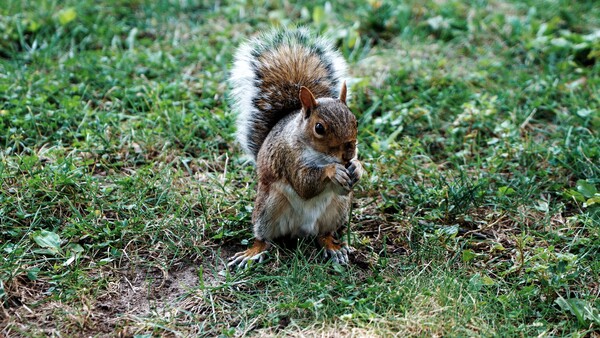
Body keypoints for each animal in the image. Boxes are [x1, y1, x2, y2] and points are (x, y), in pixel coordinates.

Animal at [227, 27, 364, 270]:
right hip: (267, 208)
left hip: (337, 210)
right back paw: (253, 251)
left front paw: (357, 167)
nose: (347, 155)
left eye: (355, 121)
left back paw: (333, 247)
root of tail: (302, 231)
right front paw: (333, 171)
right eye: (319, 128)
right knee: (264, 238)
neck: (321, 155)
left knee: (324, 234)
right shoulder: (287, 157)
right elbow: (304, 184)